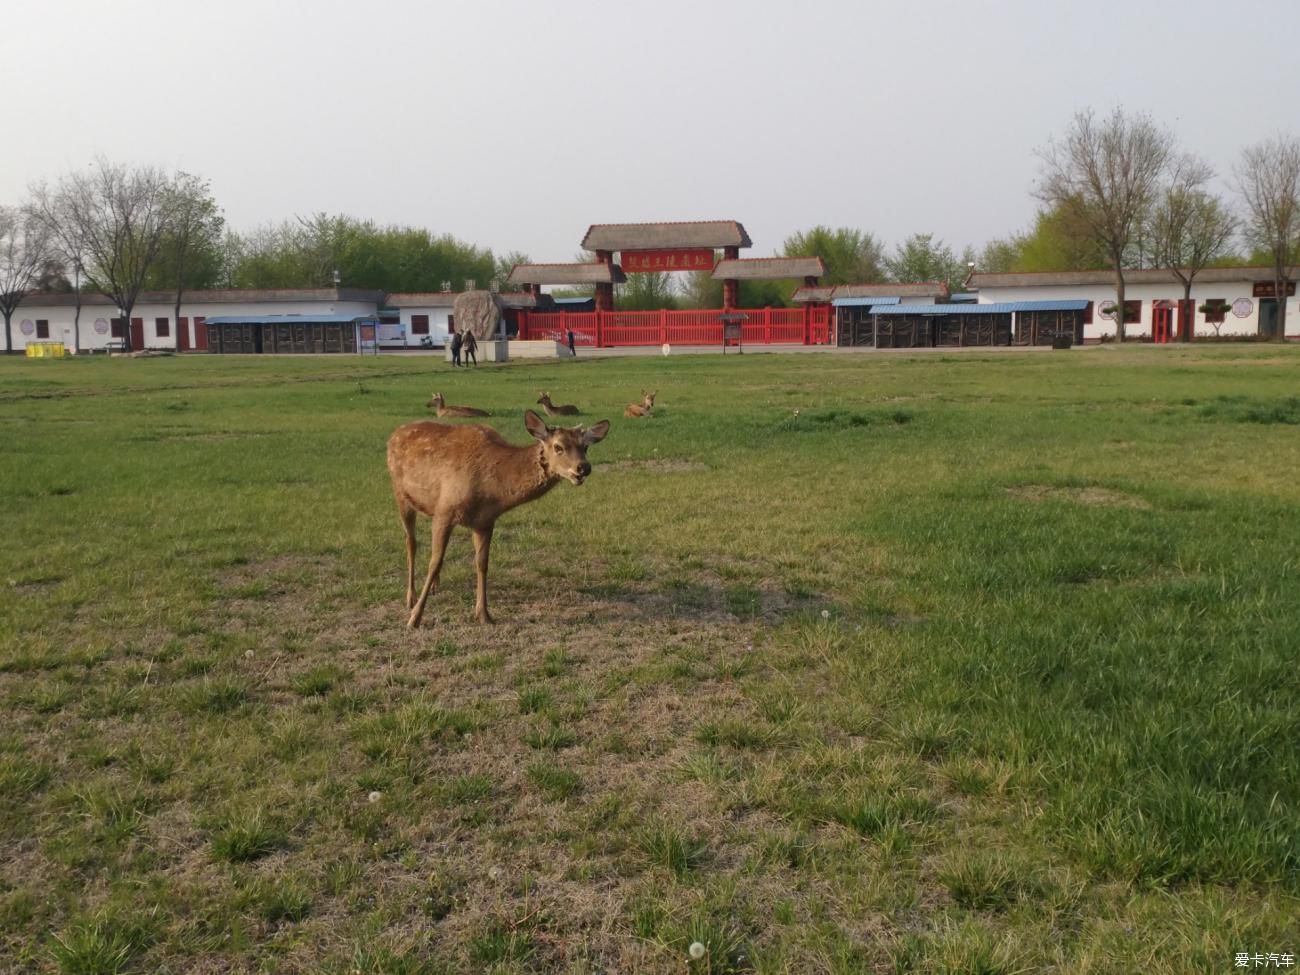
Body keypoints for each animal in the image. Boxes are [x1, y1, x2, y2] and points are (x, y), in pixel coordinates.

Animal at [384, 408, 608, 629]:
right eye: (558, 447)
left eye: (585, 447)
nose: (584, 467)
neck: (491, 490)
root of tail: (395, 433)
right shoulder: (445, 510)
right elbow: (434, 562)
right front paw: (415, 618)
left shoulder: (484, 520)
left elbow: (482, 564)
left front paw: (484, 614)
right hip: (400, 494)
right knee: (411, 542)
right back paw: (410, 597)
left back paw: (434, 587)